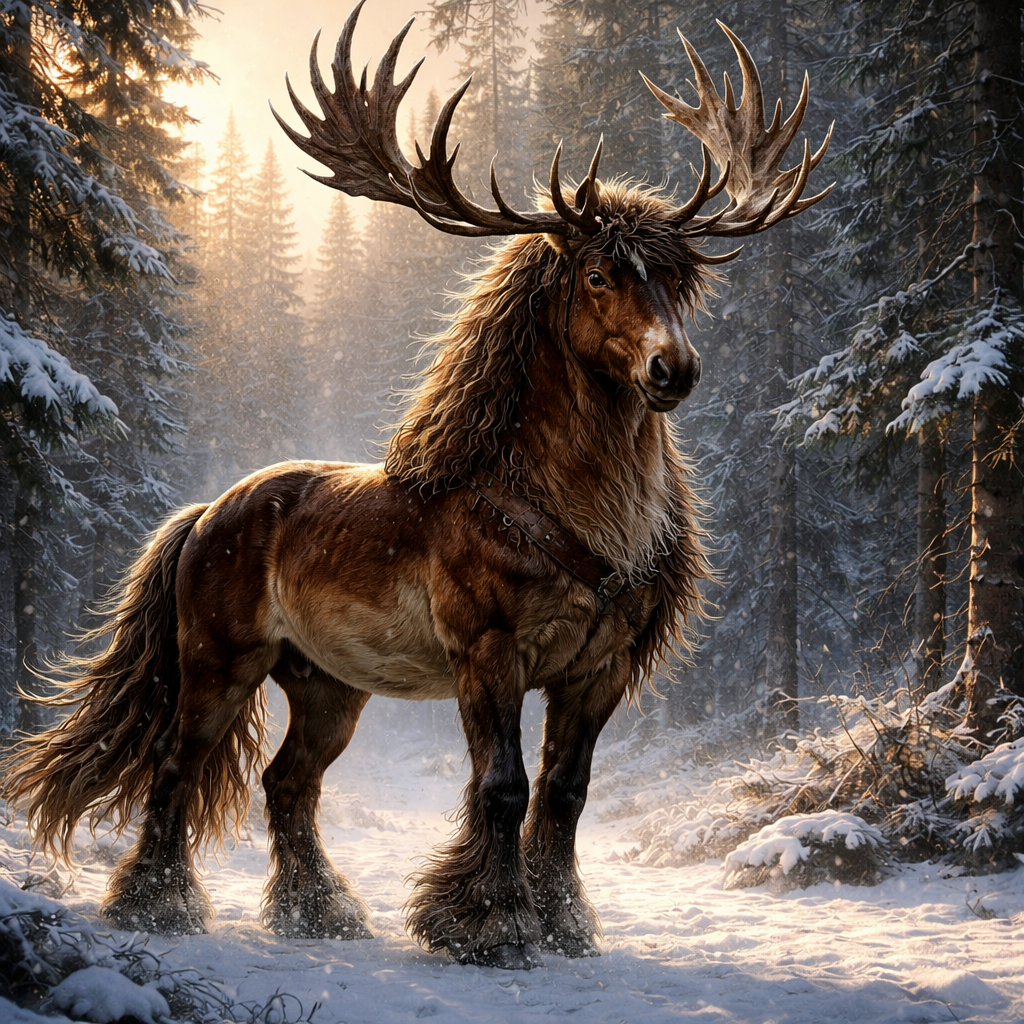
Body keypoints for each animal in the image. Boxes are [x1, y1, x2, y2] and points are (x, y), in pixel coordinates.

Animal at [1, 2, 830, 969]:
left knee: (288, 783)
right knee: (178, 764)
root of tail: (205, 515)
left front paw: (565, 925)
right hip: (219, 659)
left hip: (327, 682)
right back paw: (157, 908)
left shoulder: (602, 668)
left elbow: (567, 794)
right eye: (597, 274)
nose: (674, 370)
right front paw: (492, 925)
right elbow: (503, 786)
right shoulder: (489, 650)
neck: (580, 516)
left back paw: (319, 914)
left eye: (679, 279)